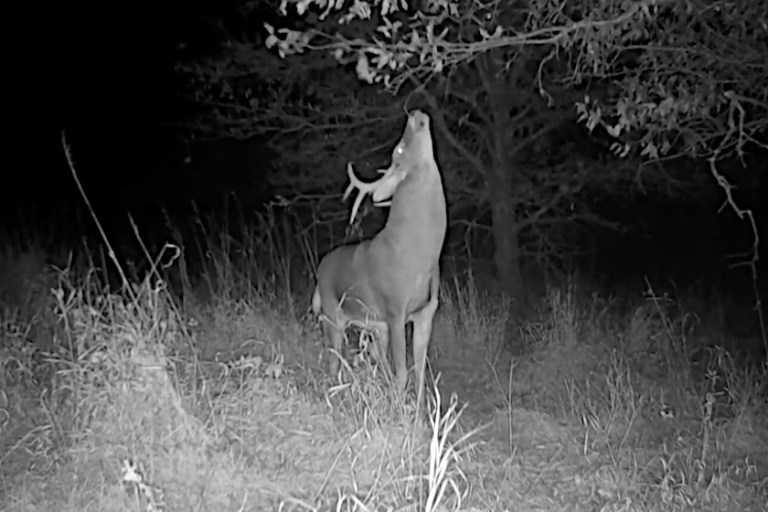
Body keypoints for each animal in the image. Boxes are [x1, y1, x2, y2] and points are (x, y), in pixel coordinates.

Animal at [311, 110, 447, 412]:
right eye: (399, 148)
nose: (414, 113)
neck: (420, 255)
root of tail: (320, 266)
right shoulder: (395, 309)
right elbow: (402, 372)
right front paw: (400, 412)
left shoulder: (426, 312)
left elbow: (419, 373)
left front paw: (419, 413)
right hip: (332, 313)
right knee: (332, 358)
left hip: (374, 326)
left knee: (376, 362)